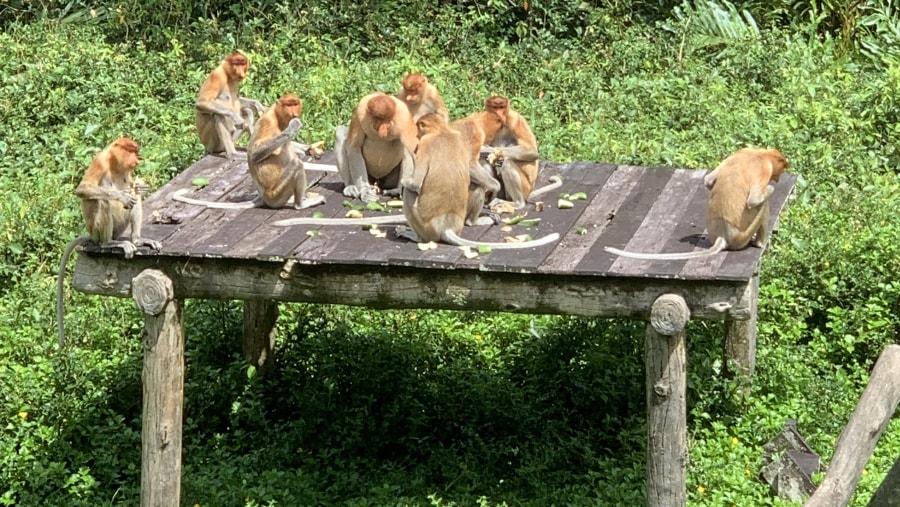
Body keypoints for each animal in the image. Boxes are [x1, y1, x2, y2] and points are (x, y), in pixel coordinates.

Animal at [604, 146, 788, 258]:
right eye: (780, 170)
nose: (778, 179)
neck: (761, 154)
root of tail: (723, 235)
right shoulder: (764, 168)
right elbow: (754, 200)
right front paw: (771, 188)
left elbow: (708, 180)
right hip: (743, 235)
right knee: (762, 206)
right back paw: (759, 243)